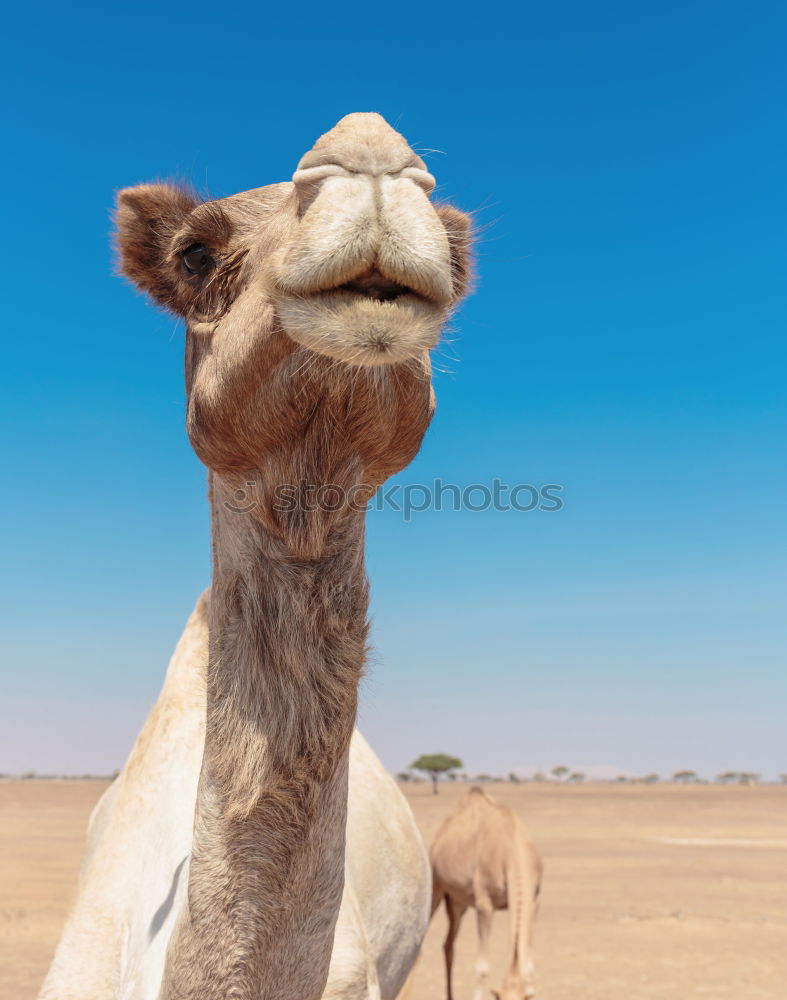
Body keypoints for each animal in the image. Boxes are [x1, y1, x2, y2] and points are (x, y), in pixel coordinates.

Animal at [430, 788, 540, 1000]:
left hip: (457, 902)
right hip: (436, 889)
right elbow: (481, 968)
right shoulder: (485, 905)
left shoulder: (533, 903)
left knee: (448, 945)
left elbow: (530, 968)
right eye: (499, 999)